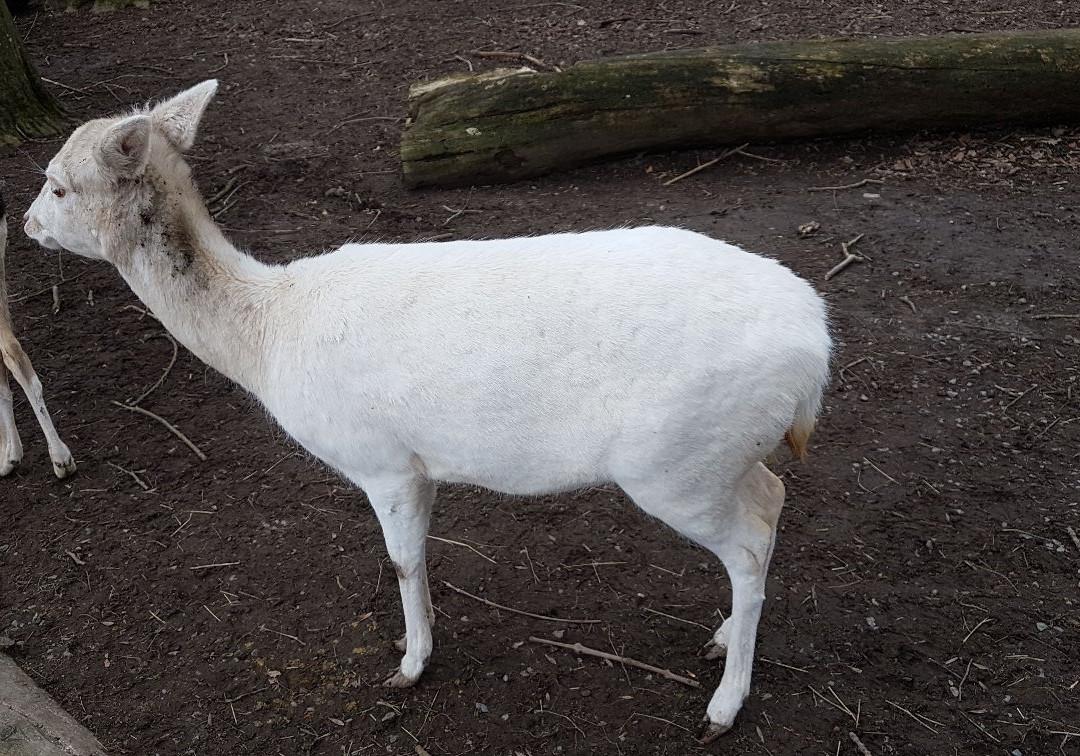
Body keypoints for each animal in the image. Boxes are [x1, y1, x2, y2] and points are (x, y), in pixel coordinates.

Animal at [25, 81, 829, 738]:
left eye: (58, 185)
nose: (26, 226)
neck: (269, 334)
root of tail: (817, 348)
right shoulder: (421, 464)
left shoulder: (380, 459)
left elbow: (404, 562)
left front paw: (409, 666)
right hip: (723, 459)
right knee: (773, 497)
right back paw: (723, 633)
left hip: (675, 465)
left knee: (749, 541)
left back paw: (724, 705)